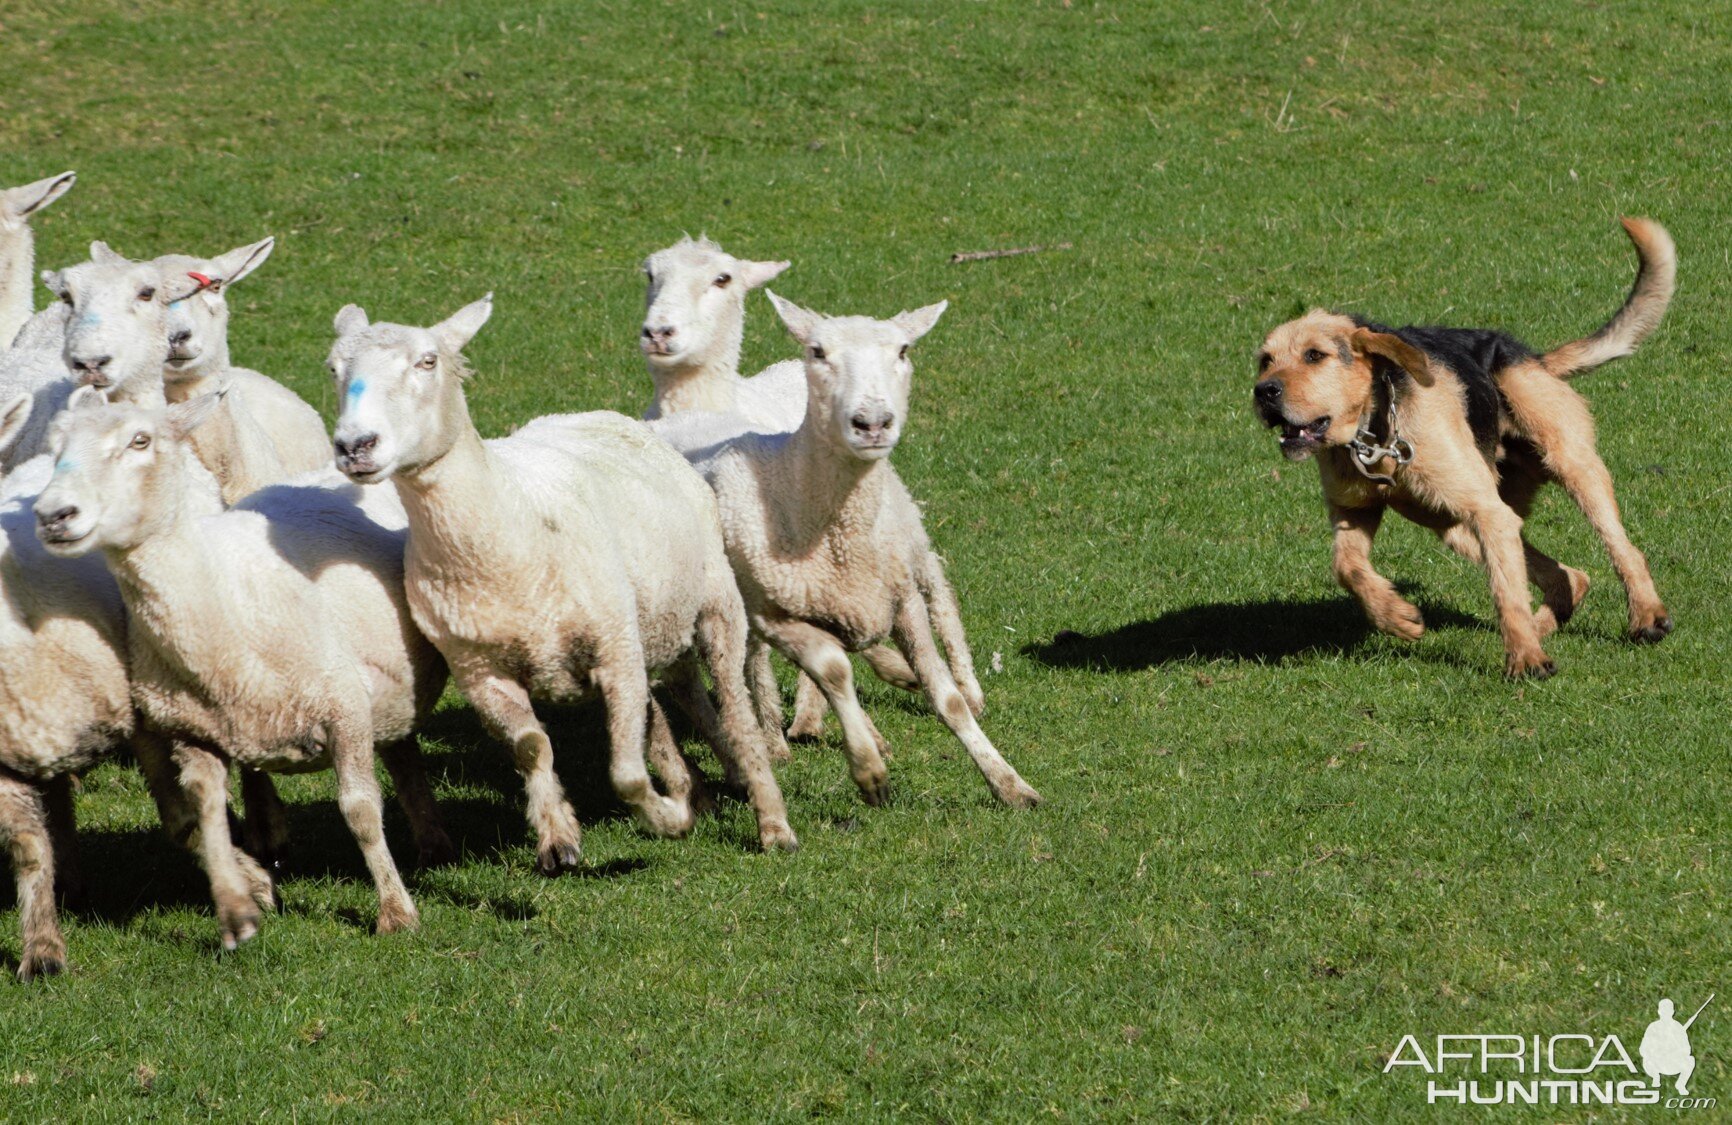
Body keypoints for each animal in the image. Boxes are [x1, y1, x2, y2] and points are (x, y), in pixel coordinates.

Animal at [38, 389, 457, 941]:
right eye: (55, 447)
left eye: (139, 441)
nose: (53, 514)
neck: (218, 593)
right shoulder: (189, 733)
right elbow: (200, 820)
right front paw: (243, 901)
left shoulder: (343, 704)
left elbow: (361, 811)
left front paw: (396, 912)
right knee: (399, 749)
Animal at [325, 290, 796, 858]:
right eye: (333, 369)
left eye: (427, 362)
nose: (355, 446)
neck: (506, 530)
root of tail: (595, 413)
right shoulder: (480, 672)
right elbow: (532, 747)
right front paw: (557, 834)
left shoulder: (614, 651)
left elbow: (626, 774)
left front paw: (667, 817)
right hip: (652, 618)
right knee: (674, 695)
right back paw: (699, 789)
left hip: (713, 600)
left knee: (733, 706)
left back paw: (770, 818)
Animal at [689, 290, 1039, 806]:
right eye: (817, 352)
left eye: (903, 350)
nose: (872, 422)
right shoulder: (775, 614)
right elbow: (834, 671)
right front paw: (869, 770)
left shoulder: (901, 599)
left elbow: (948, 698)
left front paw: (1009, 783)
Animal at [1253, 217, 1669, 675]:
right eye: (1264, 360)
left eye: (1315, 355)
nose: (1263, 392)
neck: (1374, 433)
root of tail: (1535, 358)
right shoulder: (1353, 510)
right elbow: (1347, 567)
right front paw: (1397, 616)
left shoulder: (1487, 513)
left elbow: (1506, 594)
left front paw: (1525, 659)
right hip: (1456, 523)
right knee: (1569, 576)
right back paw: (1543, 624)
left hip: (1570, 468)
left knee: (1623, 550)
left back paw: (1646, 616)